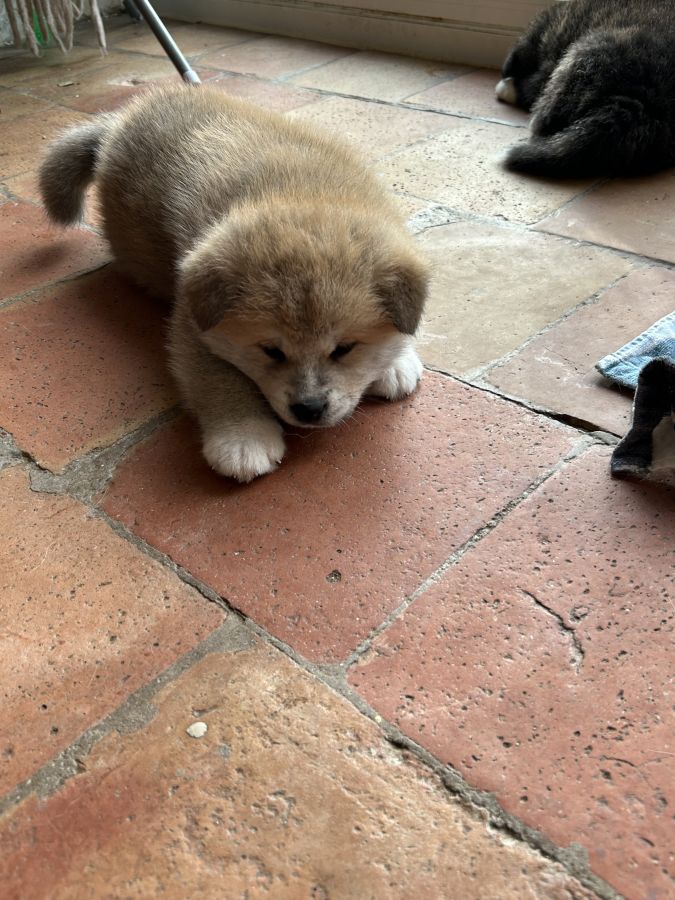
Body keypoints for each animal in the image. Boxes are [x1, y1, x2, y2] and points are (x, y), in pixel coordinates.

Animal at [39, 85, 429, 482]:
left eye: (345, 348)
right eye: (271, 350)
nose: (309, 408)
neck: (300, 191)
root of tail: (118, 123)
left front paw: (396, 360)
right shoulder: (192, 328)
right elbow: (218, 379)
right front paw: (244, 437)